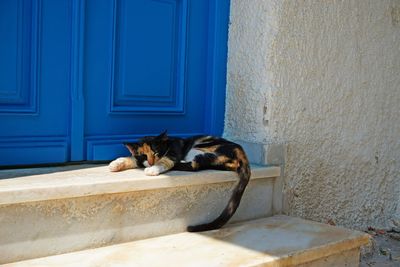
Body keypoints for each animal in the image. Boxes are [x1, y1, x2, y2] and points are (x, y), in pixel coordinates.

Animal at [108, 132, 250, 232]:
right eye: (143, 155)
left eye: (156, 152)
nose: (151, 163)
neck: (167, 143)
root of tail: (240, 151)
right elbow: (134, 159)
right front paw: (116, 164)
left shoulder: (172, 153)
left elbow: (165, 160)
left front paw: (153, 169)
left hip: (200, 147)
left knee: (195, 164)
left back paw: (180, 163)